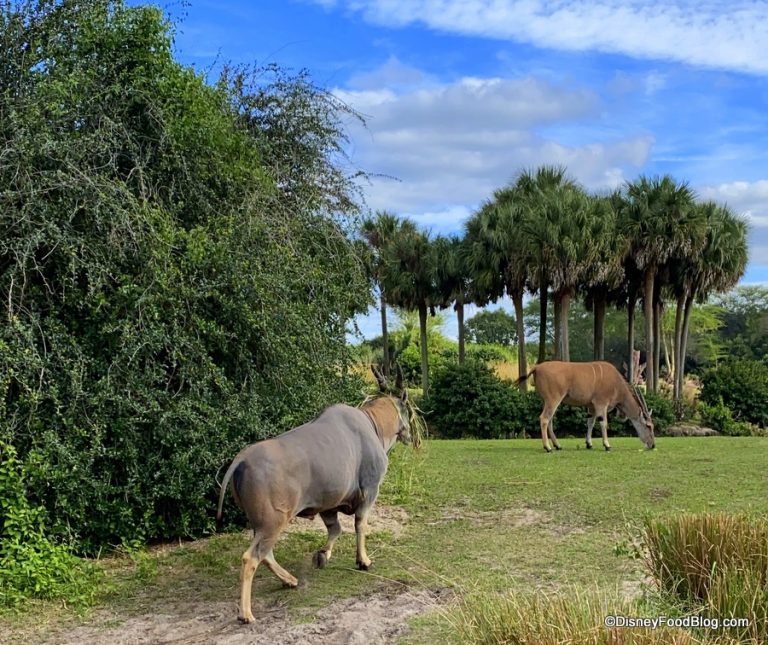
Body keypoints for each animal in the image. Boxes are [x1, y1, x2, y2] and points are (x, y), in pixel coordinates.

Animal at [216, 368, 414, 624]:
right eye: (407, 409)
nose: (409, 435)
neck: (372, 423)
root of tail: (242, 459)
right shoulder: (370, 491)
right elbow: (360, 525)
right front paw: (363, 561)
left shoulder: (328, 505)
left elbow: (335, 529)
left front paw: (321, 556)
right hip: (273, 522)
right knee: (251, 557)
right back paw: (246, 613)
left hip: (261, 524)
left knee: (265, 553)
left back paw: (290, 580)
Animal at [516, 360, 656, 450]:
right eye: (649, 426)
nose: (653, 445)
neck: (617, 384)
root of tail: (537, 367)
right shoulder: (601, 404)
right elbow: (603, 423)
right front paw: (607, 445)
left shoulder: (591, 407)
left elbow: (590, 422)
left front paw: (589, 444)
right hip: (553, 400)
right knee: (544, 418)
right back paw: (548, 447)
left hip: (547, 401)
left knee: (549, 420)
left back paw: (557, 445)